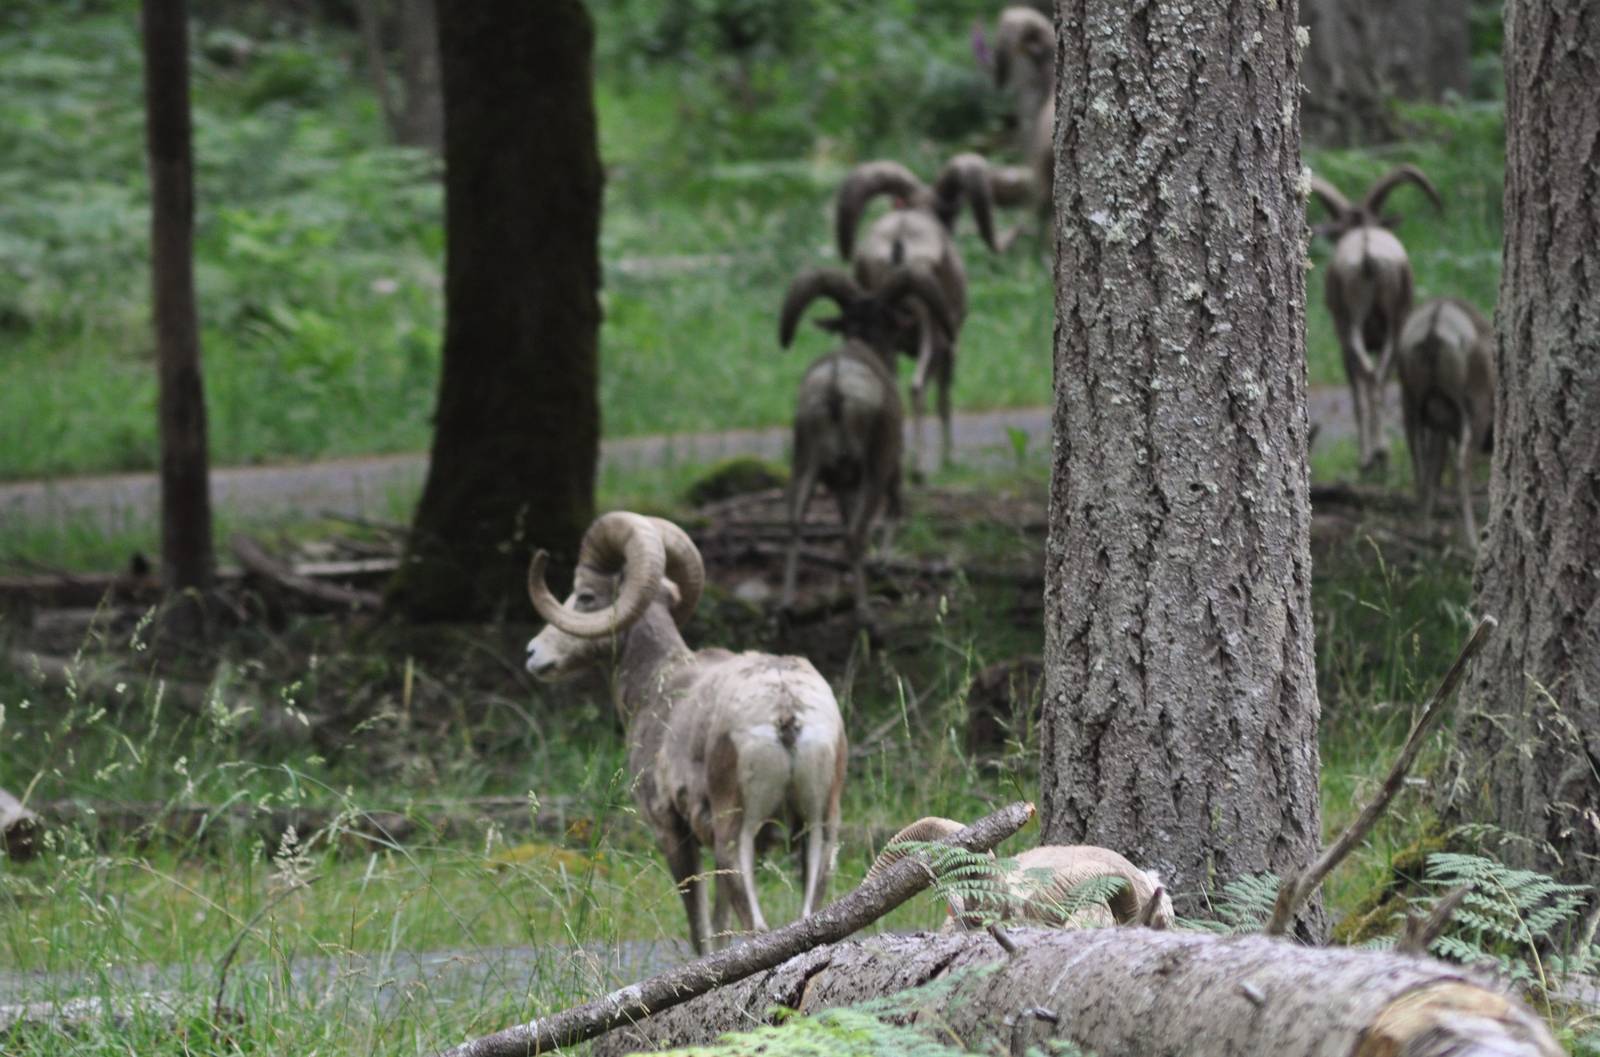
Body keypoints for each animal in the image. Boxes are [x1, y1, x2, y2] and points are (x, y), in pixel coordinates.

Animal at [525, 513, 847, 953]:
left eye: (586, 596)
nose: (533, 654)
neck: (659, 684)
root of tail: (786, 708)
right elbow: (721, 924)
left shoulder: (671, 831)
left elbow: (700, 930)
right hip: (820, 830)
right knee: (807, 915)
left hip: (737, 838)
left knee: (757, 927)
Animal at [777, 267, 954, 616]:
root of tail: (835, 386)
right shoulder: (890, 464)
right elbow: (893, 511)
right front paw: (883, 564)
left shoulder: (840, 483)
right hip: (875, 467)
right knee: (857, 533)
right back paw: (864, 612)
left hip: (805, 463)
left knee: (795, 524)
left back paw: (787, 608)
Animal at [835, 154, 1000, 472]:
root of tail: (899, 243)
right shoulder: (950, 348)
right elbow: (944, 400)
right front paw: (949, 460)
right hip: (932, 335)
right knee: (917, 387)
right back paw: (919, 468)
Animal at [1309, 164, 1443, 473]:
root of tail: (1367, 255)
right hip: (1394, 325)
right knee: (1378, 377)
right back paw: (1381, 453)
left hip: (1352, 326)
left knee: (1368, 376)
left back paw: (1372, 456)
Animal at [1395, 297, 1495, 550]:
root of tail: (1434, 325)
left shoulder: (1441, 426)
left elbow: (1434, 472)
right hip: (1474, 411)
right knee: (1461, 466)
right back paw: (1472, 540)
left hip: (1411, 406)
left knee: (1421, 469)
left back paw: (1424, 533)